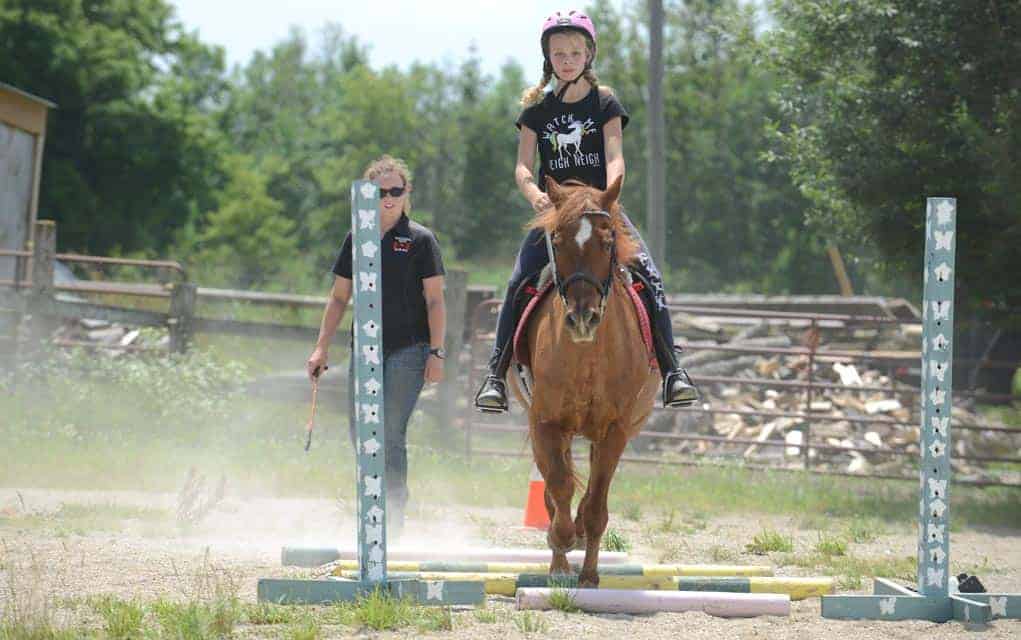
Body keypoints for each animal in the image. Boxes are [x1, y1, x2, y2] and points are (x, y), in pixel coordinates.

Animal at [506, 175, 657, 587]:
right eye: (556, 241)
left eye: (607, 242)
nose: (582, 318)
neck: (588, 356)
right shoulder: (545, 423)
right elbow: (558, 486)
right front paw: (561, 546)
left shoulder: (615, 430)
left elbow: (595, 504)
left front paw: (589, 575)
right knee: (557, 487)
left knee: (590, 495)